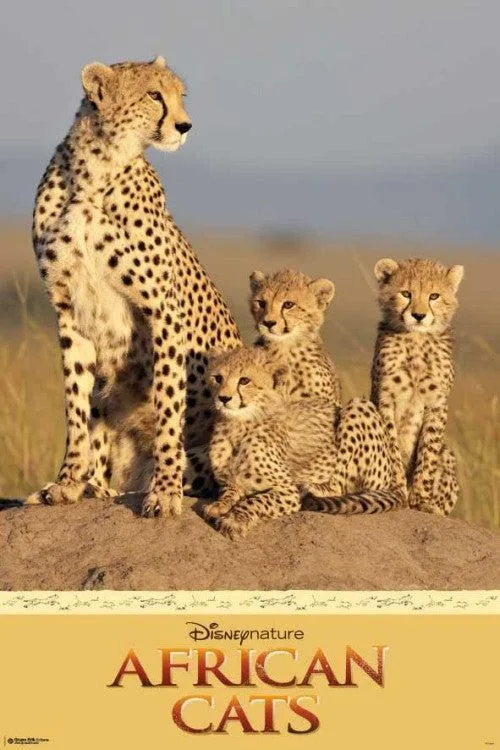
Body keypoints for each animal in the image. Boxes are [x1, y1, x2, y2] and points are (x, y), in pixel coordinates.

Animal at [26, 56, 241, 517]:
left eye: (179, 94)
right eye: (154, 95)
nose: (185, 125)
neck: (95, 170)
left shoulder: (163, 311)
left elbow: (168, 406)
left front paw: (164, 491)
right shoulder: (68, 311)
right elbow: (76, 404)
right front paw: (67, 483)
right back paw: (93, 487)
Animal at [202, 346, 406, 539]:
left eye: (244, 380)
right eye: (218, 378)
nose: (223, 398)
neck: (236, 426)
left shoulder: (287, 492)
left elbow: (255, 500)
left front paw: (234, 520)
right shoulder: (230, 481)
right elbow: (229, 491)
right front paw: (219, 505)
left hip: (358, 406)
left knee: (339, 485)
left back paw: (312, 487)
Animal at [370, 256, 463, 516]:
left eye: (434, 296)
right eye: (406, 294)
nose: (419, 315)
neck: (417, 340)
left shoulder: (437, 403)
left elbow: (428, 452)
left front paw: (421, 499)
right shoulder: (385, 399)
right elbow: (391, 449)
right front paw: (398, 490)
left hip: (448, 455)